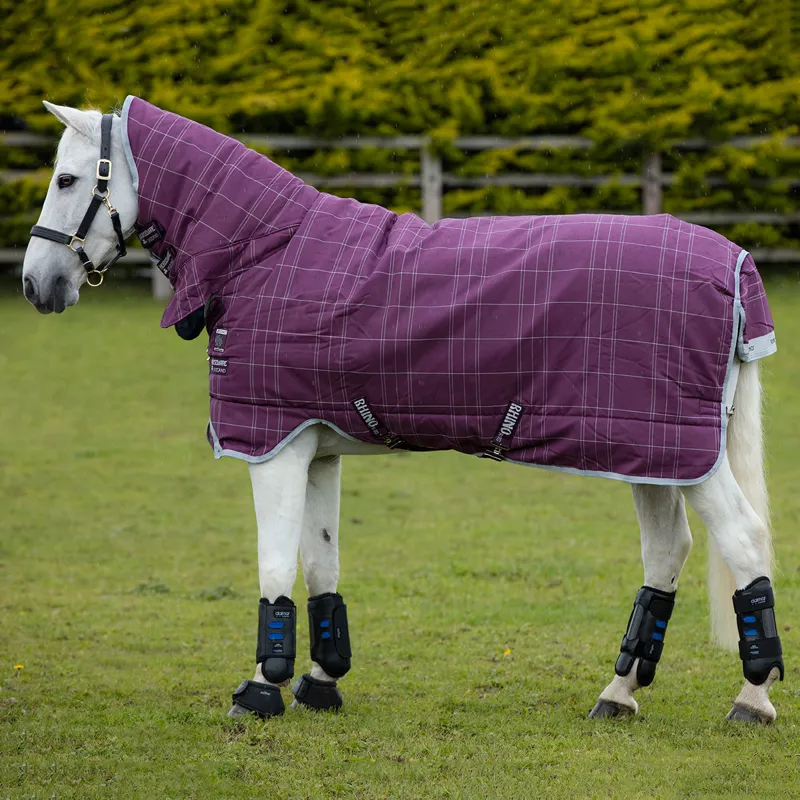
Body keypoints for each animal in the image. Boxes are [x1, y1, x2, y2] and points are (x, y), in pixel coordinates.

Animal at [22, 97, 784, 724]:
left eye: (66, 181)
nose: (36, 285)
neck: (267, 252)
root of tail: (735, 259)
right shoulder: (317, 450)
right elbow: (321, 567)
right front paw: (321, 682)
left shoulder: (274, 448)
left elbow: (274, 568)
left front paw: (260, 690)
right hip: (650, 450)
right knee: (668, 551)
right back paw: (617, 695)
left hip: (678, 452)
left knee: (744, 541)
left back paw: (752, 701)